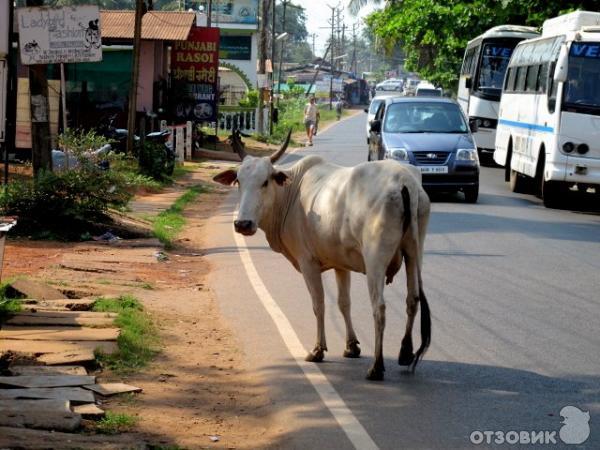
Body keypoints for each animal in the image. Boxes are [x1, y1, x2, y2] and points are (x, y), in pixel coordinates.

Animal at [216, 131, 432, 380]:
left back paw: (376, 367)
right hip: (414, 252)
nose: (242, 224)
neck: (291, 193)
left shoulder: (307, 262)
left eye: (265, 181)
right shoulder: (341, 263)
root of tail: (405, 182)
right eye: (238, 181)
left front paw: (318, 350)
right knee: (412, 299)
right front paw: (352, 346)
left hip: (375, 259)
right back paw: (405, 353)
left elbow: (318, 303)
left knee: (379, 307)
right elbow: (343, 303)